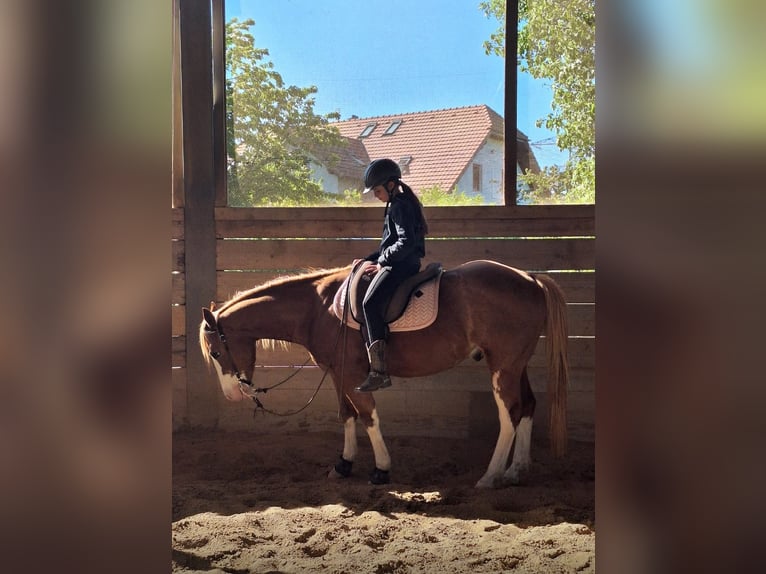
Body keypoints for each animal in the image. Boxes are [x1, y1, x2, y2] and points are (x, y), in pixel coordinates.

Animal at [199, 259, 569, 489]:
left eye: (216, 353)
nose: (233, 395)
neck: (319, 308)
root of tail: (531, 279)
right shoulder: (337, 373)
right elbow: (346, 415)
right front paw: (343, 465)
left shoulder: (353, 377)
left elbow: (368, 416)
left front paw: (381, 469)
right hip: (516, 365)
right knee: (528, 407)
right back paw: (516, 470)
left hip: (502, 367)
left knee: (509, 415)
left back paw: (491, 476)